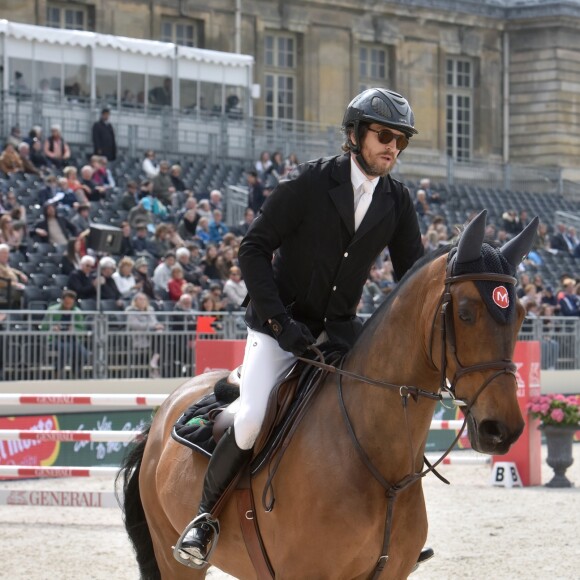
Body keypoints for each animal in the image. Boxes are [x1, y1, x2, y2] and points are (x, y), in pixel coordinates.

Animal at [119, 211, 540, 576]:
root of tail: (166, 409)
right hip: (173, 558)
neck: (379, 466)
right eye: (466, 312)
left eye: (520, 315)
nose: (502, 430)